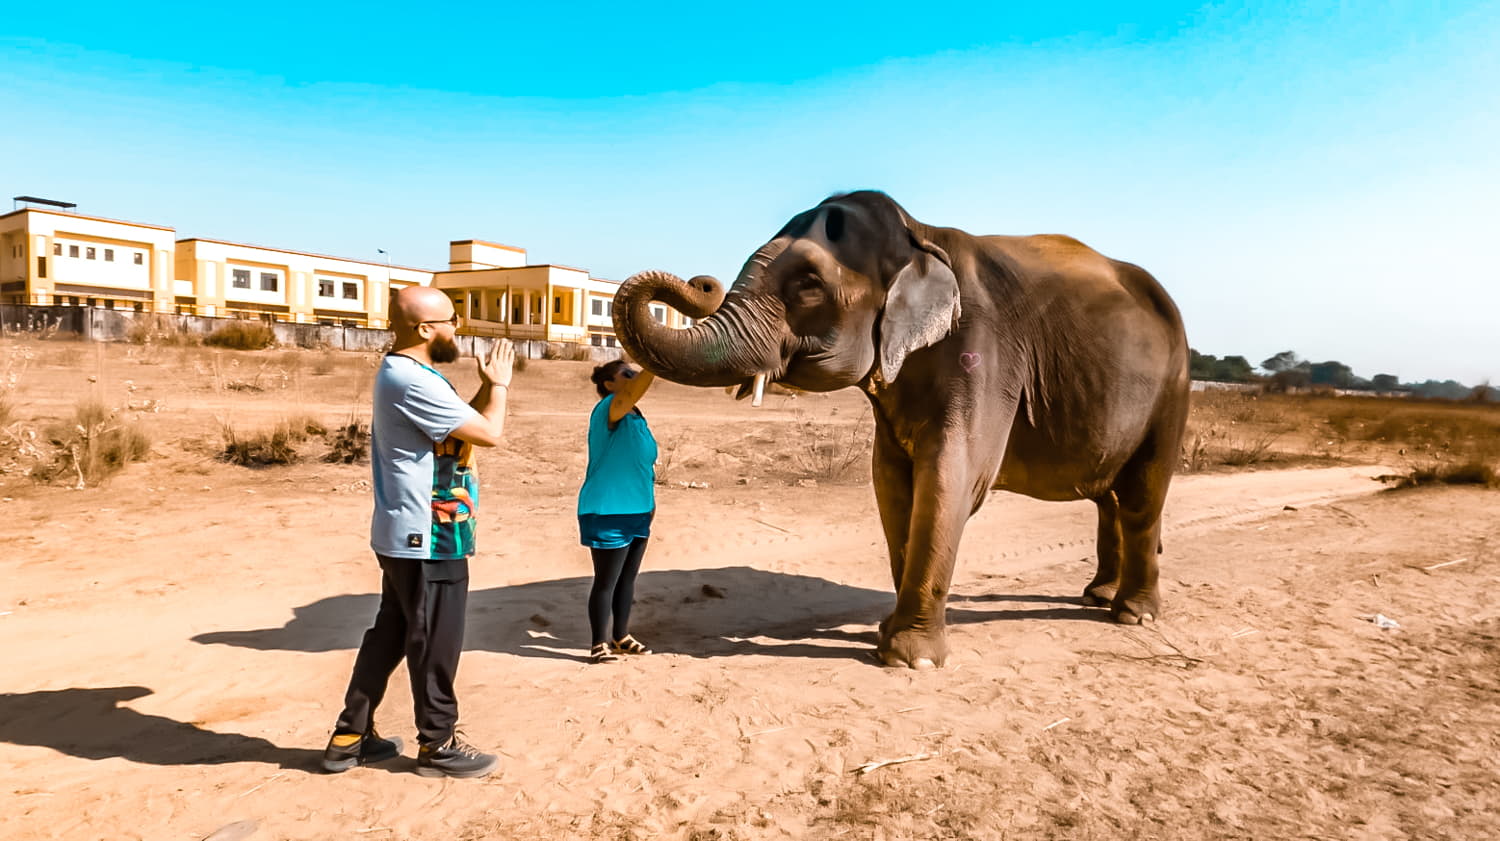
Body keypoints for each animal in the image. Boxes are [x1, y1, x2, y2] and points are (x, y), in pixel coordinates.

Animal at [609, 191, 1182, 668]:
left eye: (808, 285)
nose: (701, 282)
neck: (920, 234)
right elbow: (889, 481)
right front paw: (887, 634)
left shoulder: (985, 351)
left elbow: (953, 477)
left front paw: (911, 659)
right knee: (1111, 496)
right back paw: (1098, 595)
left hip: (1171, 391)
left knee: (1142, 495)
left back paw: (1132, 614)